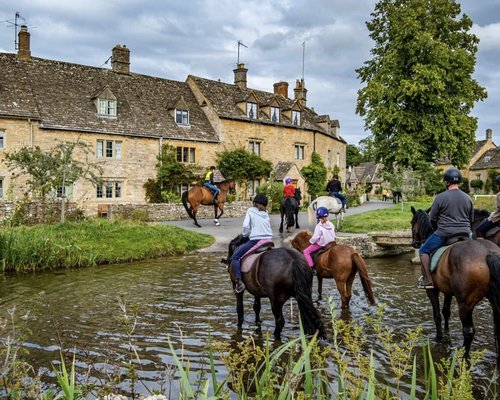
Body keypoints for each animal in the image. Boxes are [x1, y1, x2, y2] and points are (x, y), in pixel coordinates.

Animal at [412, 206, 500, 362]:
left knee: (468, 331)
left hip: (465, 304)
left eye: (411, 222)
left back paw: (464, 358)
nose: (414, 243)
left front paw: (439, 337)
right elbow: (446, 312)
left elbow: (437, 315)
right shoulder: (448, 291)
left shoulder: (432, 290)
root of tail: (488, 253)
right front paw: (447, 331)